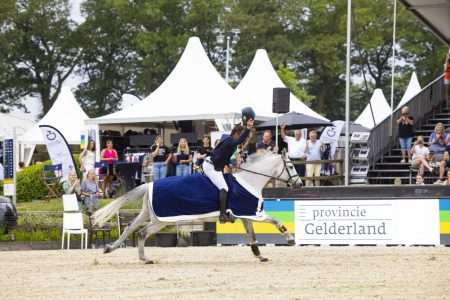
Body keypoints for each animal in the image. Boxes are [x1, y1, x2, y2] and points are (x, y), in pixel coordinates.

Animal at [92, 151, 300, 264]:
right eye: (290, 165)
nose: (298, 184)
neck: (249, 181)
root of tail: (149, 184)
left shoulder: (245, 215)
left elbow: (252, 236)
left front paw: (259, 255)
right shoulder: (254, 213)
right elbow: (275, 221)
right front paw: (290, 239)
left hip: (148, 214)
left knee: (131, 228)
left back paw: (112, 249)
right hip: (160, 220)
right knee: (142, 232)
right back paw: (144, 258)